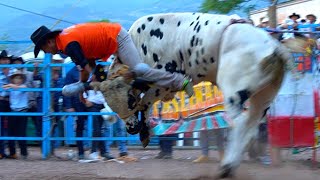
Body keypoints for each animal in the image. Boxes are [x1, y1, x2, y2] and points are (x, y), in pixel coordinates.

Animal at [94, 13, 296, 179]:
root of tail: (274, 47)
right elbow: (147, 105)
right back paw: (231, 165)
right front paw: (145, 132)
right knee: (251, 127)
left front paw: (144, 132)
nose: (131, 129)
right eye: (111, 105)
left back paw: (226, 166)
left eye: (129, 99)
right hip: (263, 96)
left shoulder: (162, 82)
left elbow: (145, 103)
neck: (139, 44)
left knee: (239, 123)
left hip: (234, 91)